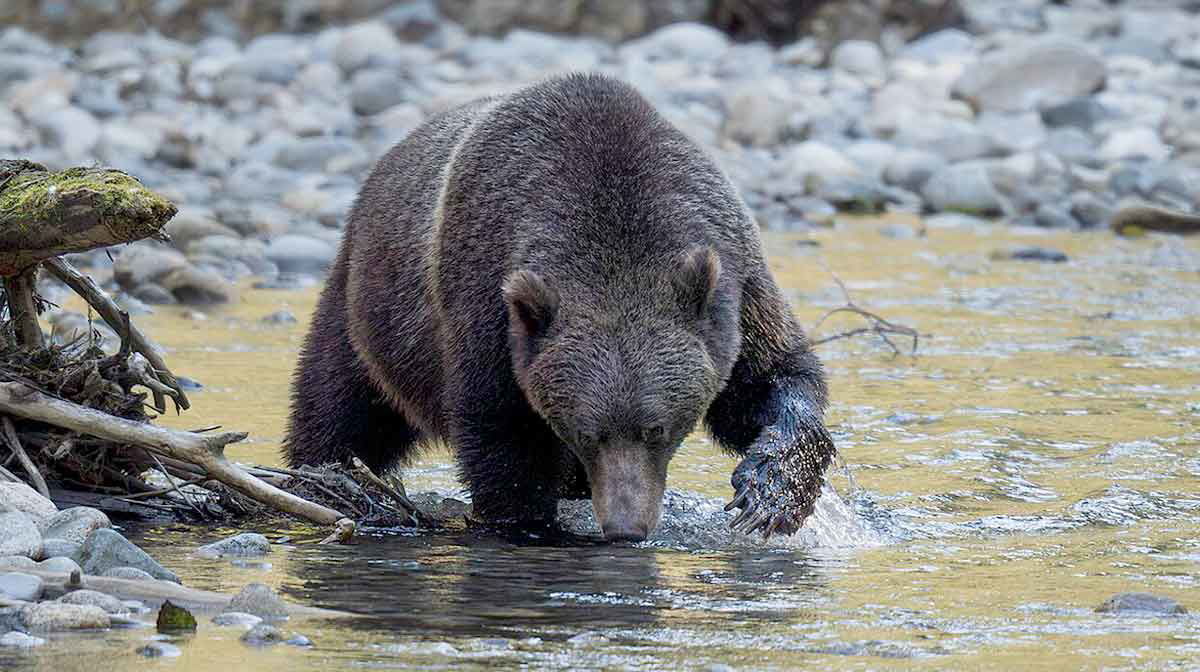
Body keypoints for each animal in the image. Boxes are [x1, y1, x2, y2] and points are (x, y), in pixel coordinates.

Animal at [284, 73, 835, 542]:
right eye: (587, 432)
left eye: (657, 427)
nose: (626, 527)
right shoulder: (489, 308)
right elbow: (503, 439)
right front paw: (533, 525)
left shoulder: (735, 287)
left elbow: (769, 380)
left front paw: (770, 494)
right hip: (369, 310)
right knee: (338, 406)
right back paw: (322, 476)